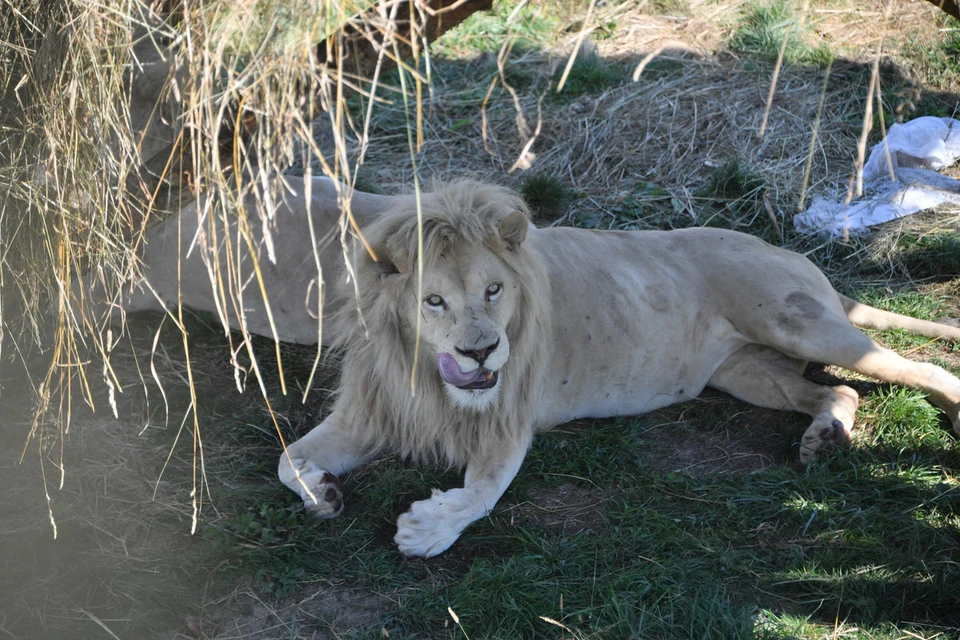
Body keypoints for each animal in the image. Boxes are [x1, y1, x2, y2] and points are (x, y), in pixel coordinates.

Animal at [270, 182, 960, 556]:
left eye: (494, 290)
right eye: (433, 301)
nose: (481, 352)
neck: (425, 376)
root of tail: (783, 248)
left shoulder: (508, 421)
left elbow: (482, 493)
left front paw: (425, 530)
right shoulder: (371, 411)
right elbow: (286, 460)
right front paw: (323, 490)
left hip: (798, 322)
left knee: (915, 371)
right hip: (744, 371)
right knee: (839, 391)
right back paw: (824, 439)